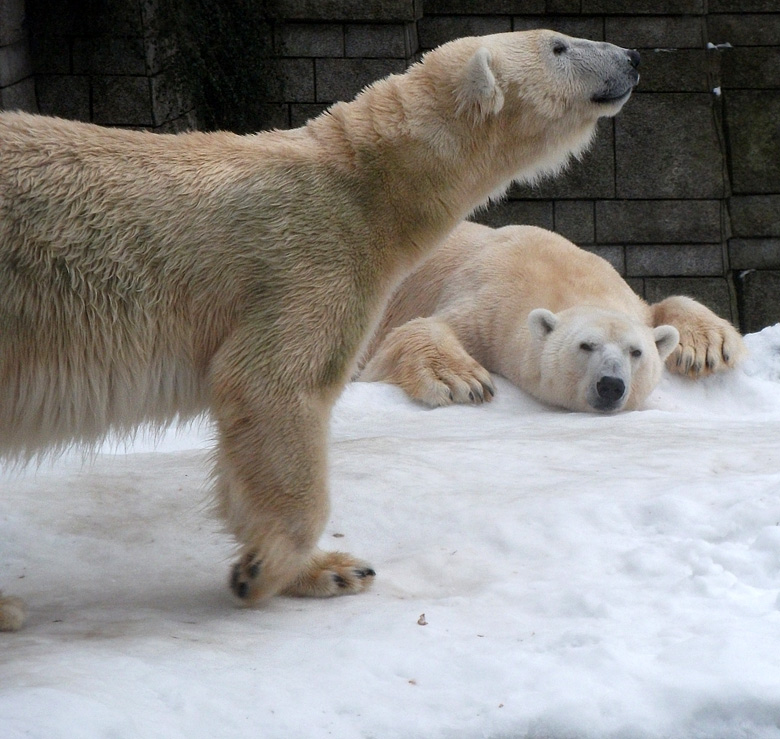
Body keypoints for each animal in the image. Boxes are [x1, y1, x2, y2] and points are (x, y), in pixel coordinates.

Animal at [0, 30, 640, 632]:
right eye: (559, 46)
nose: (632, 57)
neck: (364, 184)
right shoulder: (307, 258)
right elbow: (273, 386)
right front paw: (263, 570)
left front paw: (330, 570)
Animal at [360, 223, 744, 414]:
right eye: (586, 346)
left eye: (636, 352)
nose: (611, 385)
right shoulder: (485, 303)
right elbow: (416, 329)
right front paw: (463, 381)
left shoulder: (624, 296)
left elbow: (657, 308)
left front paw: (707, 348)